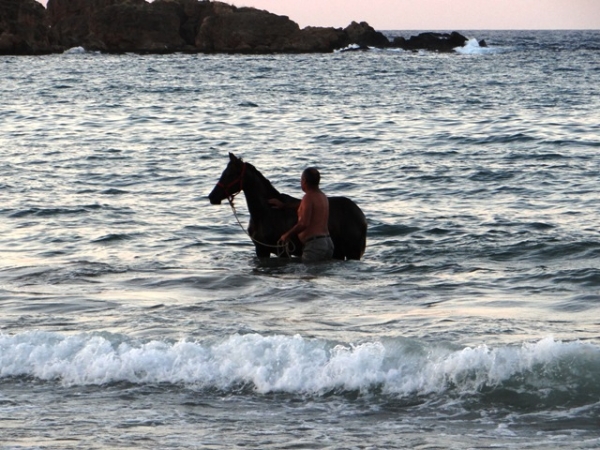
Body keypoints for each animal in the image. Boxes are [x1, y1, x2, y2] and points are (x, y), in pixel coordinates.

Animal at [209, 152, 368, 260]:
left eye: (231, 174)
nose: (211, 197)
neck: (265, 213)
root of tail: (361, 215)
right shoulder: (261, 250)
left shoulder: (282, 251)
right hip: (339, 252)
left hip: (352, 252)